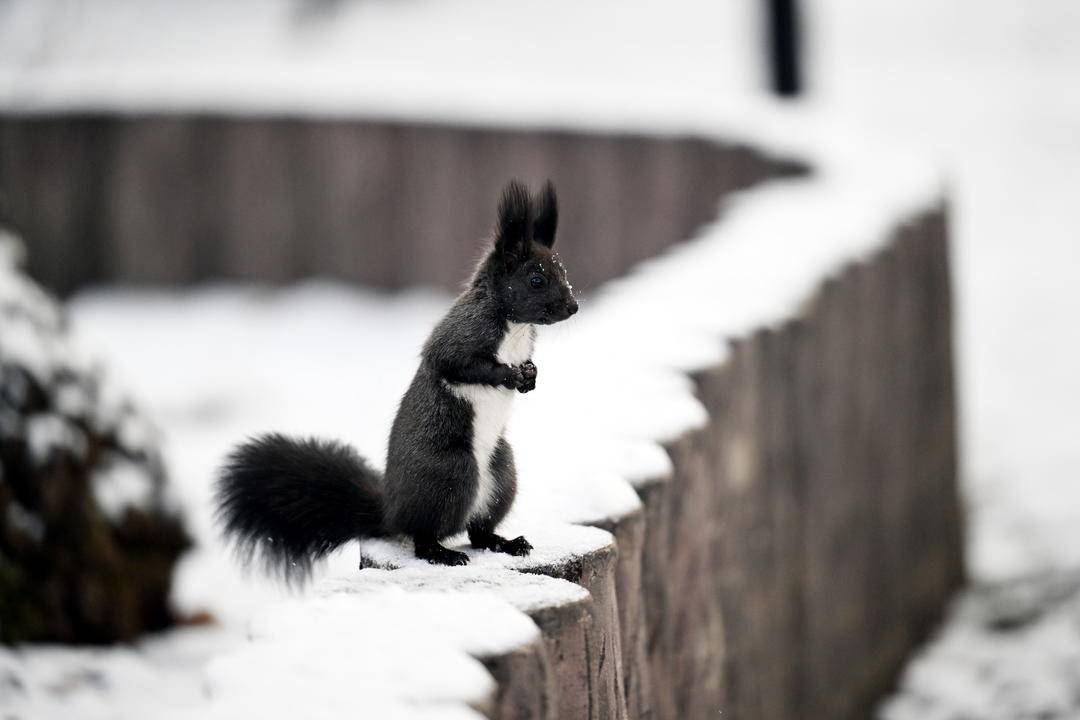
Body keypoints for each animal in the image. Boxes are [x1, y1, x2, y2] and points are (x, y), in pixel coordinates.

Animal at [213, 180, 578, 578]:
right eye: (536, 280)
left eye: (563, 273)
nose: (573, 307)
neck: (514, 325)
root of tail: (391, 512)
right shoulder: (462, 334)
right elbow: (457, 363)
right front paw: (510, 376)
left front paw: (531, 376)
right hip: (449, 475)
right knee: (424, 536)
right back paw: (442, 553)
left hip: (502, 473)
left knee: (478, 531)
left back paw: (507, 543)